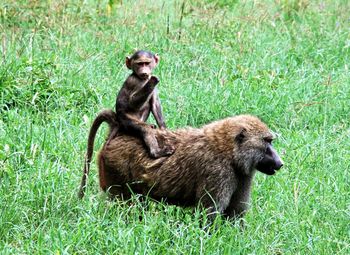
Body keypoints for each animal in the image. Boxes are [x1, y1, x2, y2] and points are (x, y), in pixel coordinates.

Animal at [85, 114, 284, 221]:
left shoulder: (242, 175)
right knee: (124, 207)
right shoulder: (218, 173)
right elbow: (208, 214)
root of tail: (117, 134)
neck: (228, 152)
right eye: (267, 142)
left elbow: (234, 215)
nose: (280, 163)